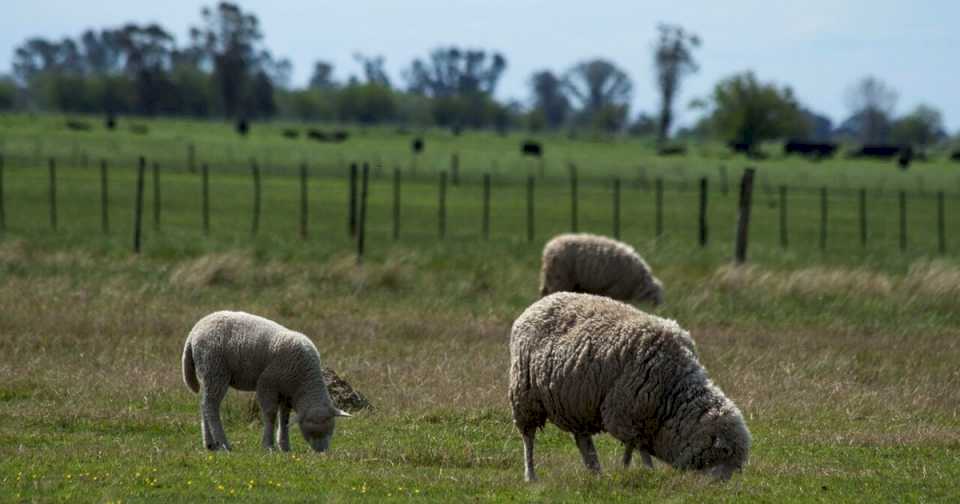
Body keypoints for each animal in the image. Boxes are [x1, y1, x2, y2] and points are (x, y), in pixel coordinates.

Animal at [181, 312, 352, 452]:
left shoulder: (286, 392)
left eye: (330, 430)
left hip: (208, 373)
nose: (321, 452)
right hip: (215, 369)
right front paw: (268, 445)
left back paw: (210, 444)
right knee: (211, 406)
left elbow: (284, 418)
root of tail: (193, 333)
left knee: (204, 404)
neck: (303, 379)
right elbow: (270, 415)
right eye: (311, 431)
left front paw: (285, 446)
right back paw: (223, 444)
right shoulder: (267, 383)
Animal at [510, 294, 752, 482]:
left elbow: (635, 446)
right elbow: (637, 447)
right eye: (724, 453)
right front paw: (643, 470)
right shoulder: (625, 413)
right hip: (524, 395)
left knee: (583, 441)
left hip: (576, 402)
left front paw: (631, 469)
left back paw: (596, 472)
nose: (720, 487)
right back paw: (531, 476)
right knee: (528, 439)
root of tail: (538, 303)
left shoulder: (638, 418)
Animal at [536, 234, 664, 306]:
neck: (638, 281)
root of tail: (549, 248)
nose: (660, 310)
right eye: (655, 297)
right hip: (560, 278)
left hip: (551, 277)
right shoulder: (615, 289)